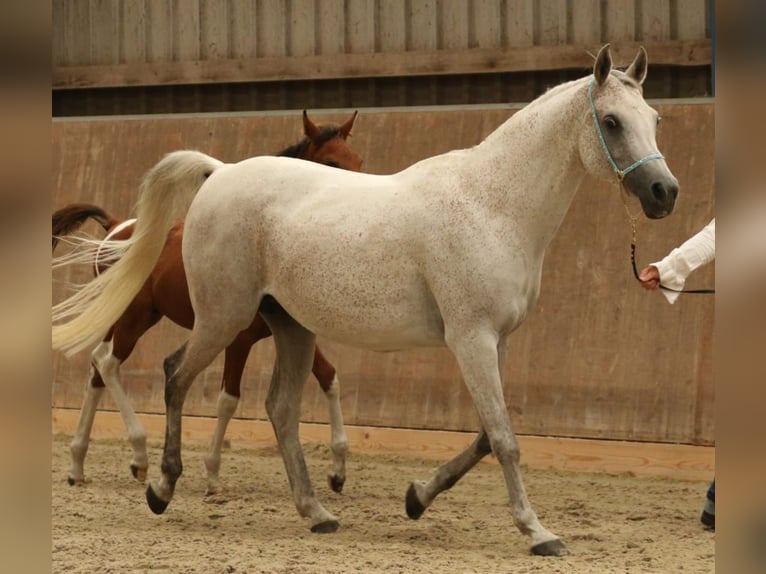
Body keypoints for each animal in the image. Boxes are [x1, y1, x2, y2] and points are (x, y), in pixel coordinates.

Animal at [55, 111, 362, 496]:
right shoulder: (240, 339)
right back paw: (138, 456)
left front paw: (338, 470)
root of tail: (117, 226)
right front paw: (213, 475)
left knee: (97, 369)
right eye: (332, 162)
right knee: (108, 363)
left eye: (359, 161)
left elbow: (328, 377)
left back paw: (77, 464)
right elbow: (228, 399)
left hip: (123, 317)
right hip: (134, 318)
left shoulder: (292, 333)